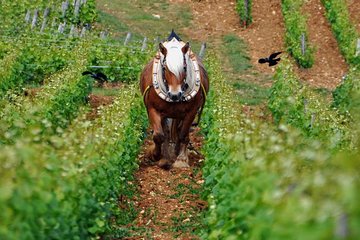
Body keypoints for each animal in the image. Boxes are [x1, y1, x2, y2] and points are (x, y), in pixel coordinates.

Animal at [140, 31, 210, 169]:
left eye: (184, 68)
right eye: (164, 68)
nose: (175, 95)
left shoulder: (191, 112)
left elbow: (183, 135)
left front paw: (181, 159)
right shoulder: (153, 109)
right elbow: (159, 135)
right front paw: (155, 155)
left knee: (179, 131)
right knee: (166, 132)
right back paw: (166, 156)